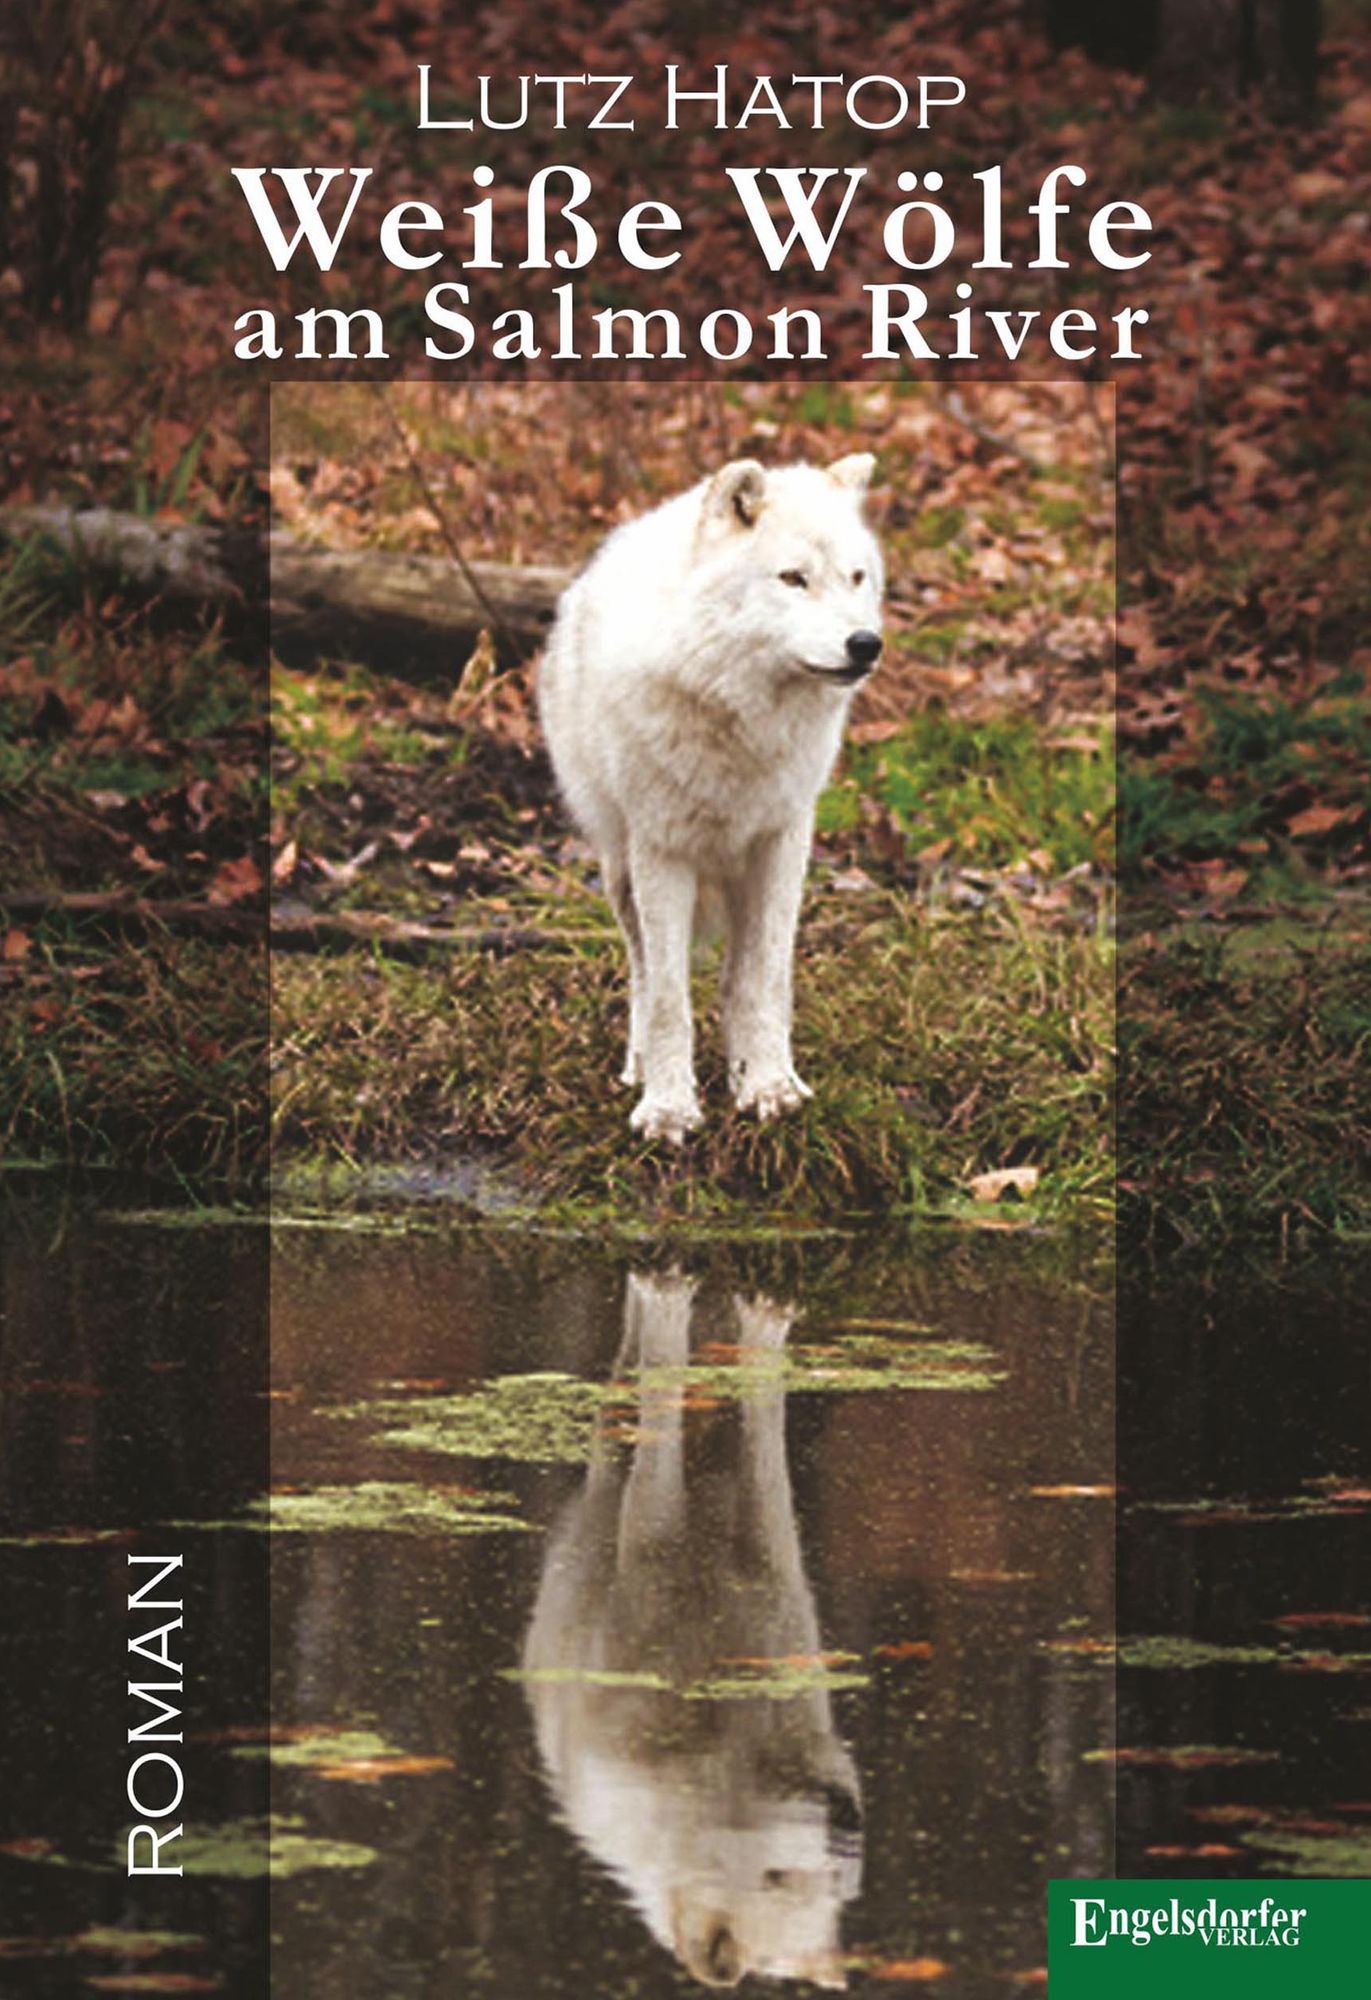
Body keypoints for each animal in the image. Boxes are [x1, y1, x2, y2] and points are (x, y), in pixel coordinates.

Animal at [522, 1273, 863, 1988]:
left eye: (836, 1890)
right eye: (775, 1876)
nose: (847, 1825)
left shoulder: (777, 1606)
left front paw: (768, 1315)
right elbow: (655, 1463)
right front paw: (669, 1296)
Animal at [538, 455, 884, 1142]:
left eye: (856, 577)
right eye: (793, 578)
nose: (865, 644)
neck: (738, 716)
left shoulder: (782, 841)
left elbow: (764, 983)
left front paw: (769, 1087)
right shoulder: (662, 849)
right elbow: (670, 998)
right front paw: (669, 1108)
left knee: (732, 979)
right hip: (621, 870)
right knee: (644, 974)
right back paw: (639, 1067)